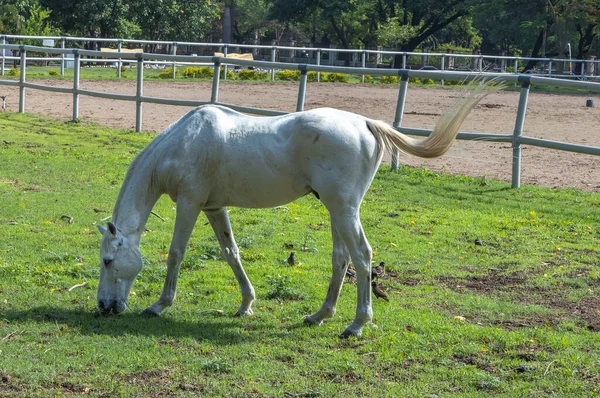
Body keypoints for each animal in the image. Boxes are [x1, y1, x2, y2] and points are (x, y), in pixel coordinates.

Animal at [96, 82, 494, 338]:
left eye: (107, 260)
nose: (103, 306)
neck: (184, 142)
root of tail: (365, 123)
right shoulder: (214, 208)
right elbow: (231, 253)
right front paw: (246, 304)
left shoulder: (190, 204)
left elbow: (176, 253)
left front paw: (159, 306)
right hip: (336, 210)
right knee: (342, 258)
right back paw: (320, 316)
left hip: (344, 209)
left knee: (362, 256)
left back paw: (356, 325)